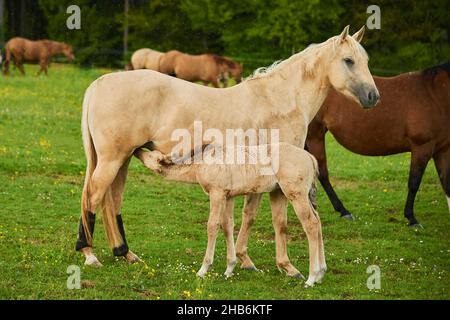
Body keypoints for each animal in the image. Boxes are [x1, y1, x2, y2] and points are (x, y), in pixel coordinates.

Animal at [77, 28, 380, 272]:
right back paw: (90, 254)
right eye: (349, 60)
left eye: (366, 61)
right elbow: (268, 218)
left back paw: (125, 253)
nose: (373, 97)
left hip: (124, 159)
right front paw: (276, 264)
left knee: (112, 201)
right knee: (93, 197)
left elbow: (251, 216)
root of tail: (99, 83)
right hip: (113, 159)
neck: (278, 100)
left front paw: (245, 261)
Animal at [134, 143, 326, 288]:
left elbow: (212, 226)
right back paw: (321, 273)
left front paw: (203, 269)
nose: (136, 150)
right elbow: (227, 226)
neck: (202, 163)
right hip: (286, 193)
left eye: (150, 156)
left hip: (296, 194)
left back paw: (311, 277)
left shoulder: (217, 193)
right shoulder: (228, 196)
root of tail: (310, 158)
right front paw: (229, 269)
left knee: (310, 224)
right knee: (317, 222)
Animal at [306, 62, 450, 228]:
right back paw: (343, 211)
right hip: (314, 137)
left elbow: (446, 183)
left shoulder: (442, 150)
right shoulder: (422, 147)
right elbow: (414, 183)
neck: (434, 95)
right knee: (322, 174)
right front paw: (412, 219)